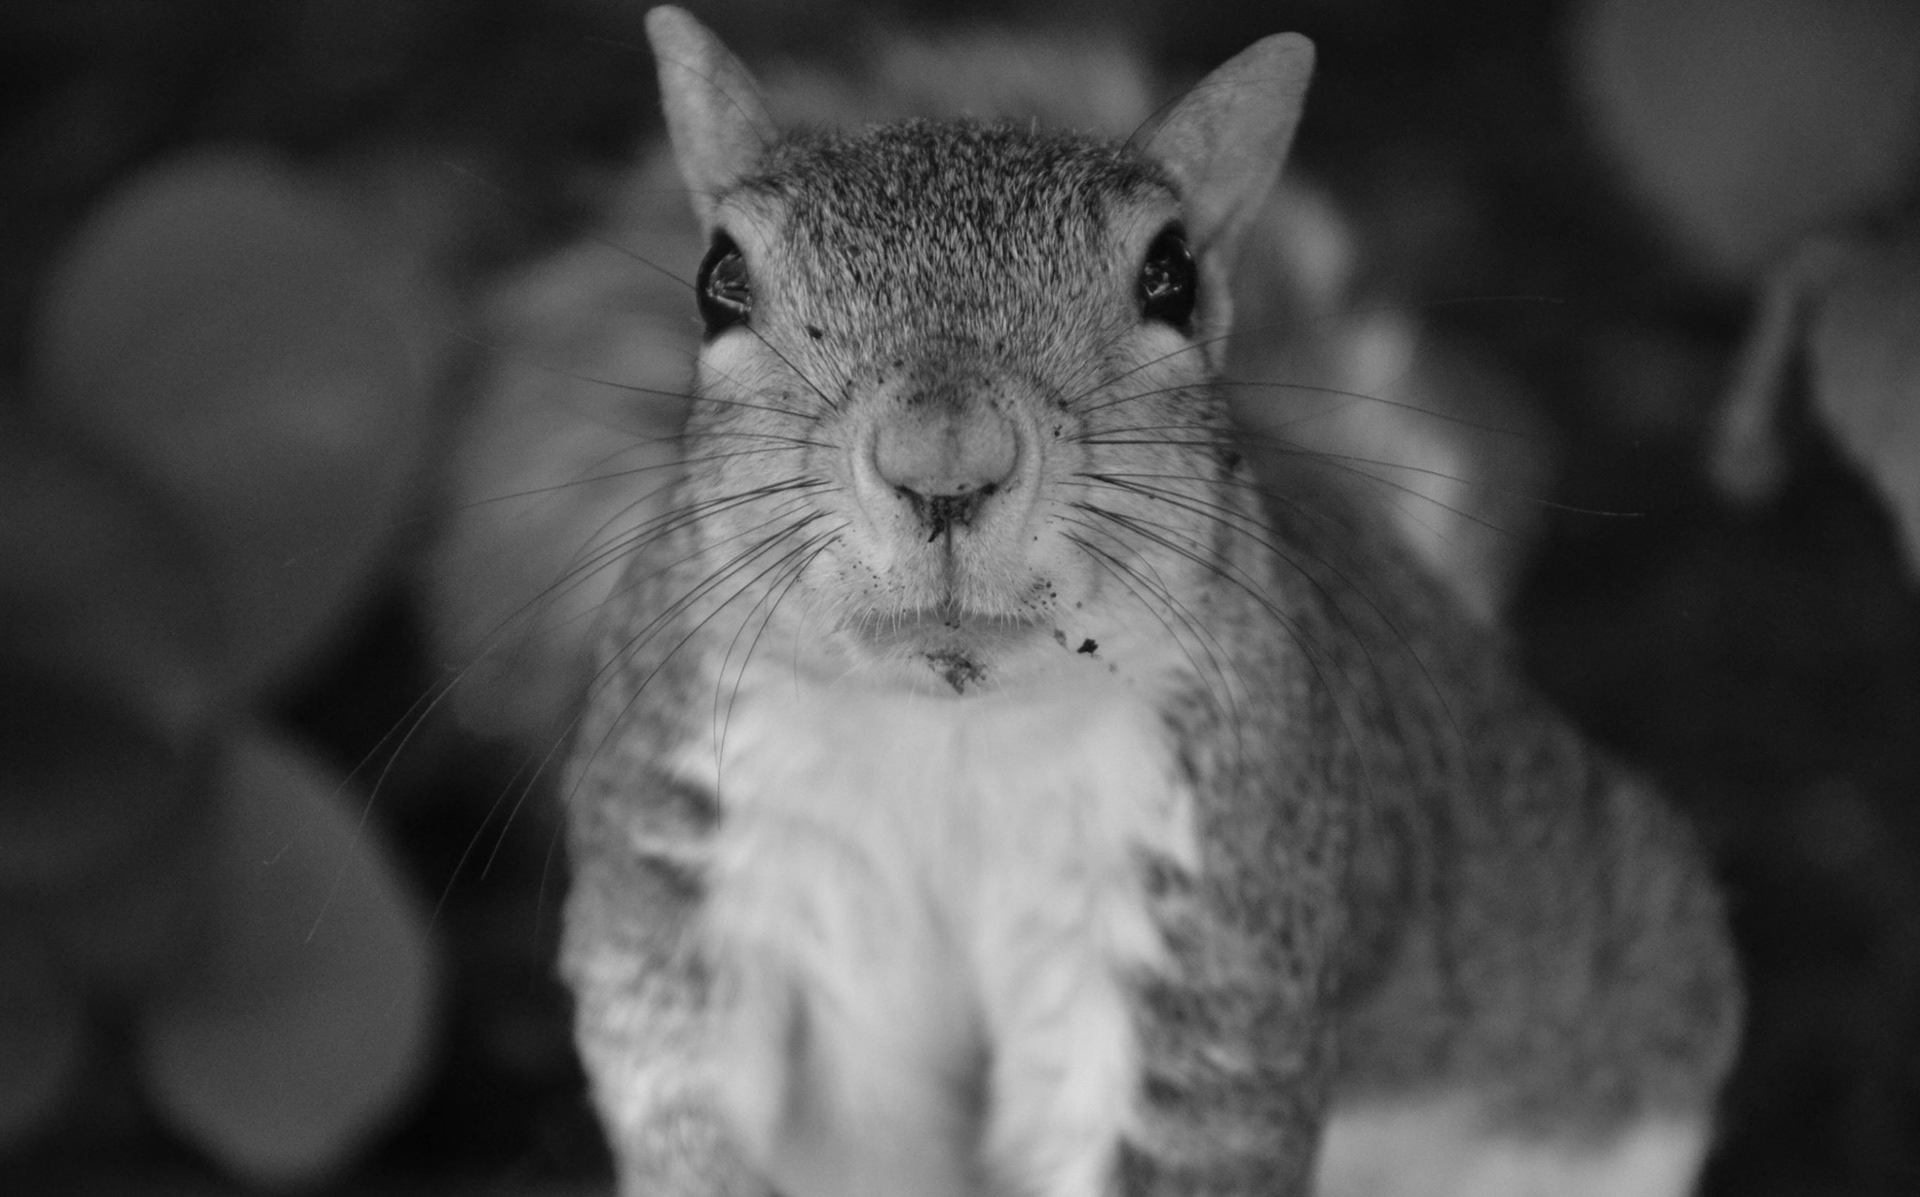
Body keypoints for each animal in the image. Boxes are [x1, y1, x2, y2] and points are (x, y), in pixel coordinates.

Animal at [557, 8, 1742, 1196]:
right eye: (719, 278)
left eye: (1169, 275)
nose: (944, 460)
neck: (954, 729)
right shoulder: (688, 855)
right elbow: (675, 1067)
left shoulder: (1213, 905)